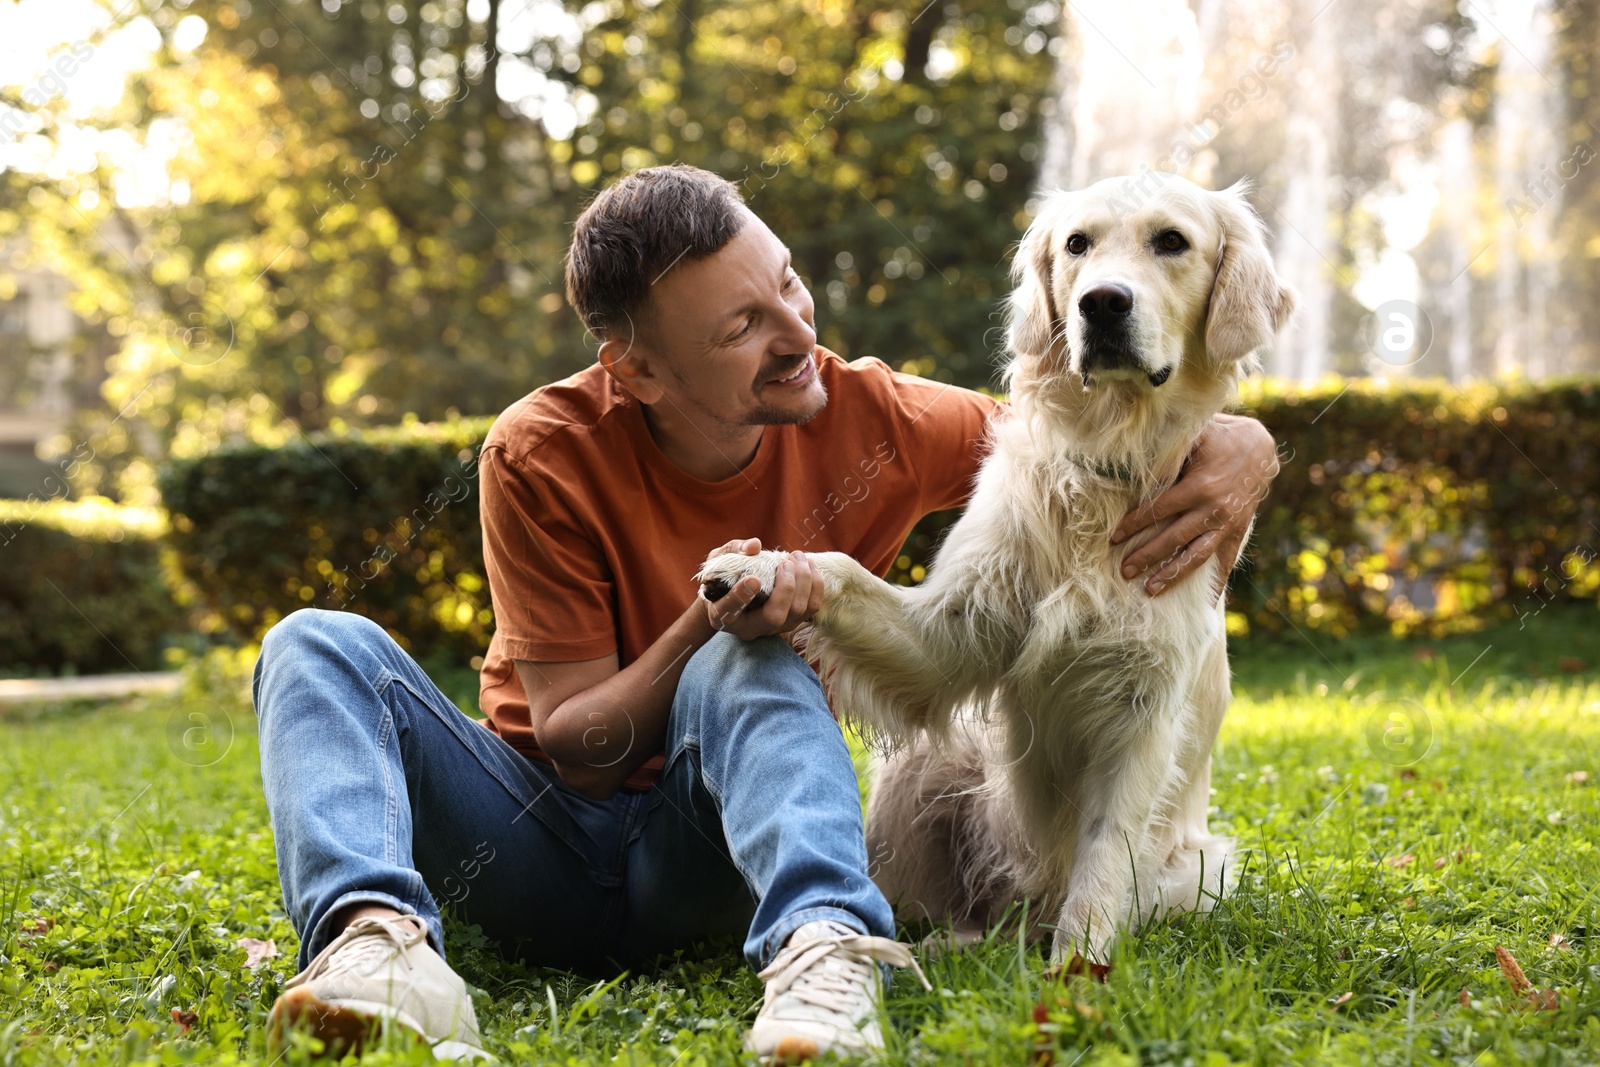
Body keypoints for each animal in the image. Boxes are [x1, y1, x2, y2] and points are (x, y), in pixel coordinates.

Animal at [697, 173, 1286, 959]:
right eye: (1077, 243)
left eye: (1172, 241)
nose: (1101, 302)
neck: (1105, 465)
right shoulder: (951, 631)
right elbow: (842, 571)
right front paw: (758, 569)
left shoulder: (1144, 709)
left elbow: (1105, 852)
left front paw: (1079, 966)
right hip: (927, 769)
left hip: (1197, 868)